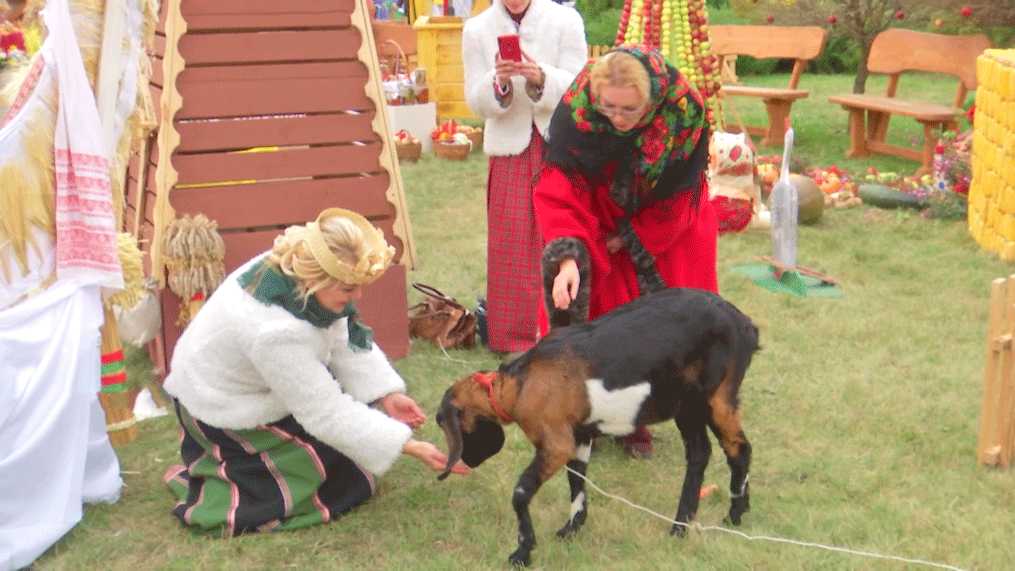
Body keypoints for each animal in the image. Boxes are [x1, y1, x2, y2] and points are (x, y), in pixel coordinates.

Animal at [436, 290, 763, 567]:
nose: (468, 462)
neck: (520, 385)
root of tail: (743, 323)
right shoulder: (580, 436)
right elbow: (577, 480)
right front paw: (571, 529)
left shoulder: (556, 444)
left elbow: (521, 491)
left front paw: (522, 551)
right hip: (686, 405)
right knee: (700, 453)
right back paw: (685, 524)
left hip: (716, 397)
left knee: (737, 448)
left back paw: (730, 515)